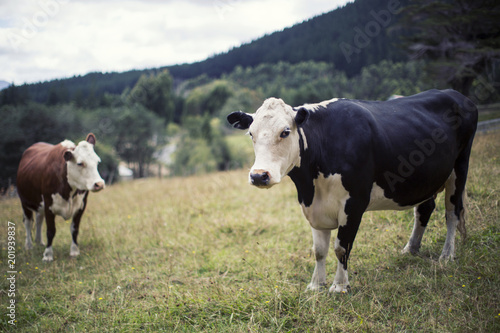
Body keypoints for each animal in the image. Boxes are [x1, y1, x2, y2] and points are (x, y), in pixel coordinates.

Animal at [227, 89, 476, 292]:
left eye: (285, 132)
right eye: (251, 134)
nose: (259, 175)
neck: (310, 185)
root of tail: (456, 94)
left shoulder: (354, 204)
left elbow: (341, 247)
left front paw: (339, 286)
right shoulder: (315, 207)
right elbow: (319, 250)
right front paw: (316, 285)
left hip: (460, 167)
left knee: (453, 212)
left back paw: (447, 255)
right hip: (428, 179)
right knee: (425, 209)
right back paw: (411, 249)